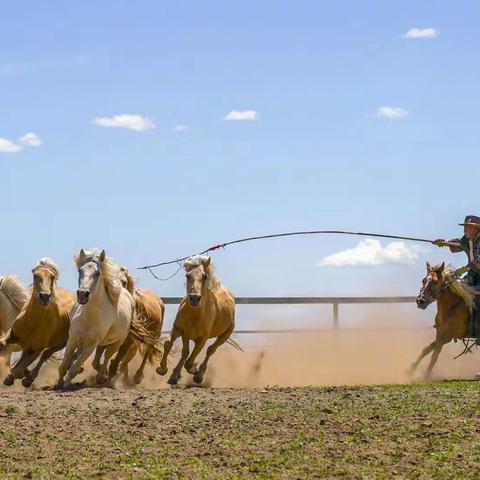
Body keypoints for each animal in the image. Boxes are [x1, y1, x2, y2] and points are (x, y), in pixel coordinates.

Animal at [0, 258, 75, 386]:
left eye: (52, 276)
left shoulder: (36, 348)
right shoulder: (12, 336)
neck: (33, 322)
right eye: (35, 275)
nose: (45, 296)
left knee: (45, 354)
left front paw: (25, 378)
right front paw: (12, 375)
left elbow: (19, 371)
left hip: (61, 343)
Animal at [57, 249, 134, 388]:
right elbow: (63, 366)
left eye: (98, 273)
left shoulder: (91, 345)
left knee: (107, 357)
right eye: (80, 270)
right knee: (91, 359)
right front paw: (58, 383)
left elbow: (72, 369)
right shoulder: (72, 339)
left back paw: (101, 377)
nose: (82, 294)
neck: (90, 317)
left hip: (116, 343)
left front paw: (66, 384)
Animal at [157, 255, 235, 386]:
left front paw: (194, 369)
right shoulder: (180, 330)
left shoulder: (202, 339)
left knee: (211, 350)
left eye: (204, 276)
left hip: (225, 334)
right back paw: (175, 376)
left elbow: (189, 361)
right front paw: (162, 369)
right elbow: (171, 345)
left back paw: (199, 375)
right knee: (186, 354)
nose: (194, 298)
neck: (195, 315)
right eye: (187, 275)